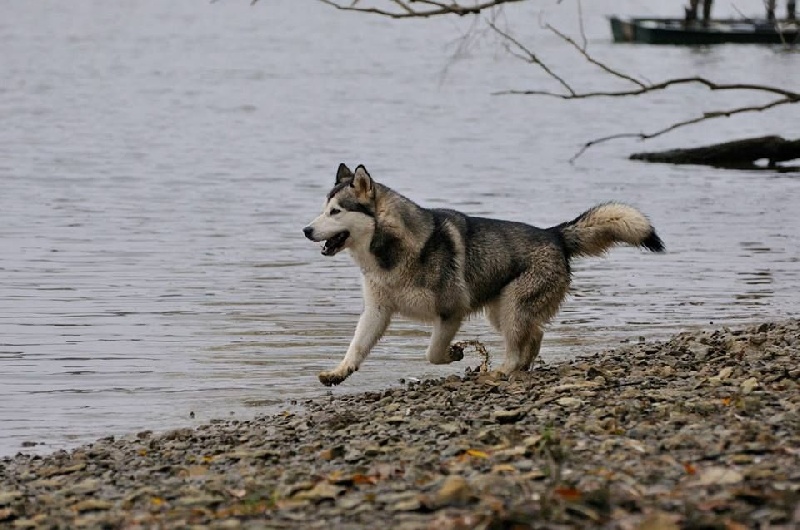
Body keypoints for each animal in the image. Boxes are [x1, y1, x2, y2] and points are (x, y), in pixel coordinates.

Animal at [302, 163, 664, 386]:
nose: (305, 230)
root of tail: (555, 235)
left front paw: (454, 354)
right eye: (323, 210)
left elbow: (432, 353)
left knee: (520, 344)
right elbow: (357, 346)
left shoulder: (451, 311)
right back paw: (518, 368)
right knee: (535, 336)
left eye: (335, 212)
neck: (394, 250)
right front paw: (339, 372)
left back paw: (501, 370)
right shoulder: (377, 311)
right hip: (502, 310)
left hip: (512, 308)